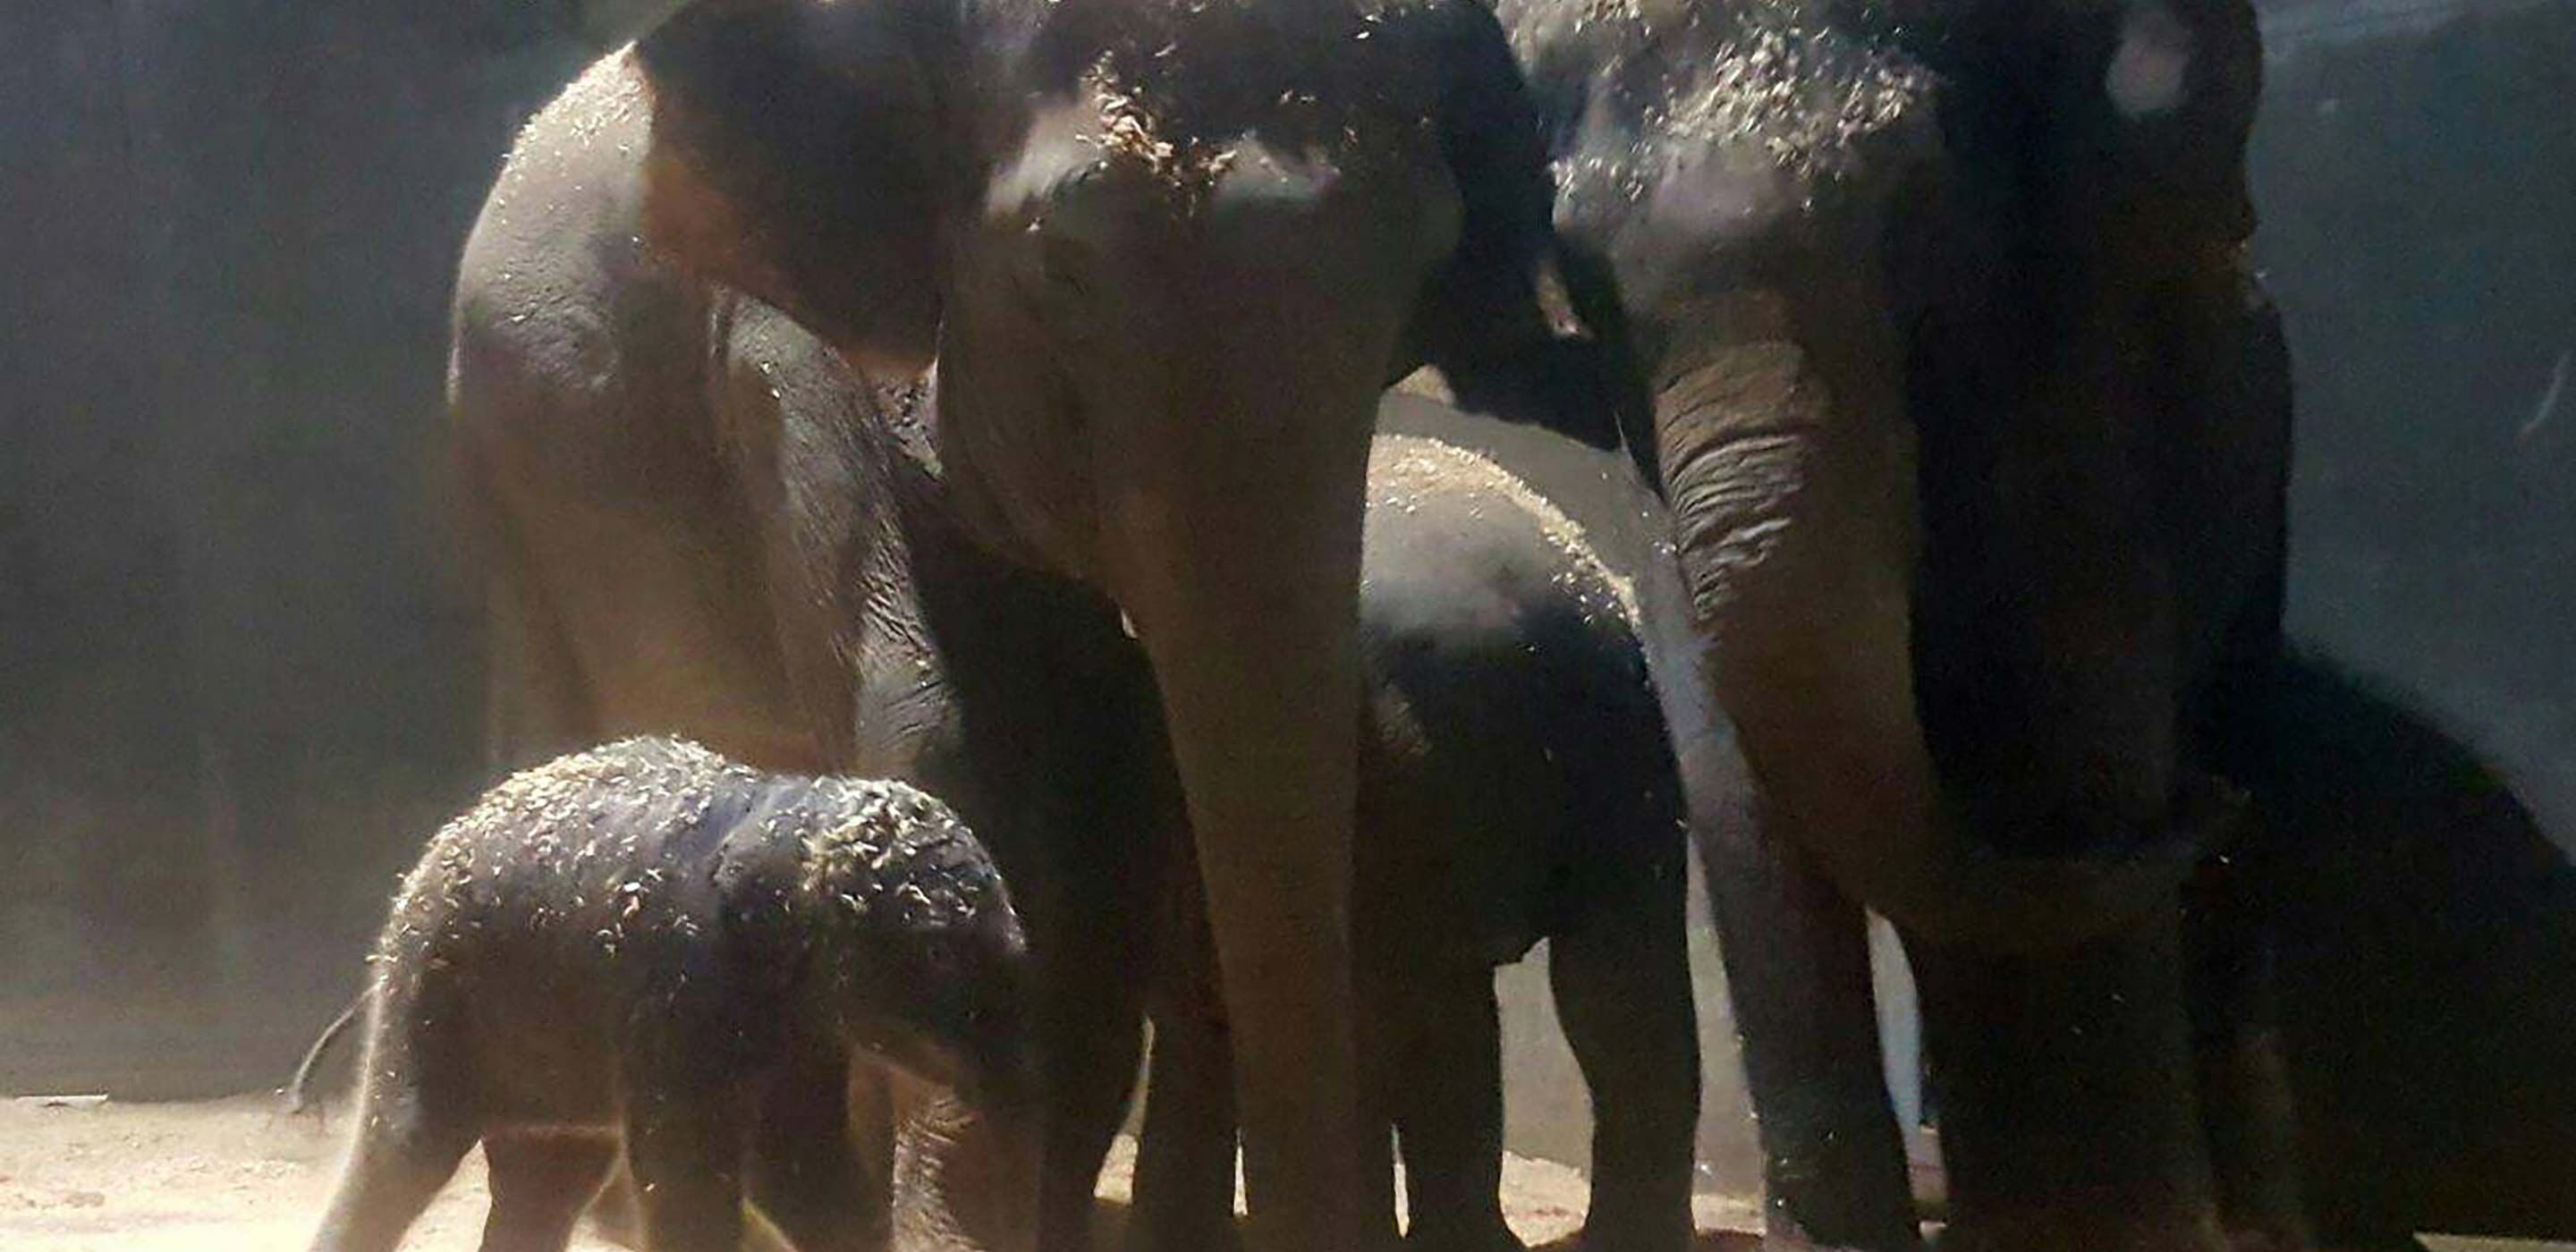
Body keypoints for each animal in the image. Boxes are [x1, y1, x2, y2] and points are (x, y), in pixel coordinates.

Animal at [448, 1, 1618, 1247]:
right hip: (511, 483)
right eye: (1060, 264)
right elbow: (951, 749)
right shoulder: (790, 367)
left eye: (1419, 277)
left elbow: (1107, 813)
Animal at [1497, 0, 2295, 1248]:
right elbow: (1734, 770)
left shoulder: (2075, 346)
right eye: (1580, 262)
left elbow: (2077, 705)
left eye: (1919, 196)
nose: (2197, 802)